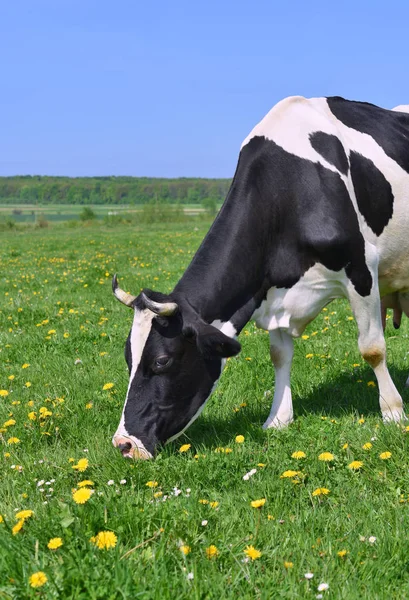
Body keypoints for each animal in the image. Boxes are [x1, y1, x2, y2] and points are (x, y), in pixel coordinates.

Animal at [111, 95, 408, 460]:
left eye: (162, 360)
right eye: (128, 357)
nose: (124, 444)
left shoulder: (361, 267)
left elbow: (372, 349)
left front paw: (393, 412)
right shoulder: (273, 290)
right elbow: (279, 355)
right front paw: (278, 419)